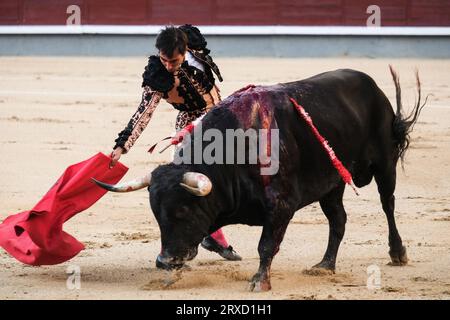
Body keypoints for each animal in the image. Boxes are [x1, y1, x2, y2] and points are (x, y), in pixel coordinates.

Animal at [94, 68, 426, 292]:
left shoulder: (281, 206)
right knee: (338, 220)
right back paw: (325, 266)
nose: (164, 261)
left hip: (385, 163)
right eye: (157, 215)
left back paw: (398, 253)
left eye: (184, 210)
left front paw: (259, 282)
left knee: (387, 204)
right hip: (332, 184)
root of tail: (373, 86)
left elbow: (266, 245)